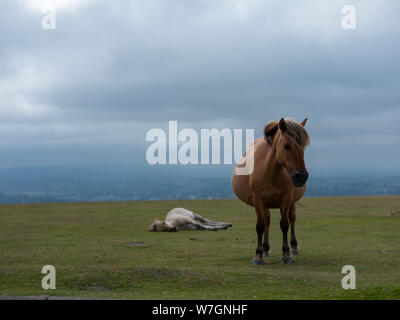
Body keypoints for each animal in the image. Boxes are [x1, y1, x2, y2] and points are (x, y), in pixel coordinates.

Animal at [231, 117, 310, 264]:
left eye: (303, 147)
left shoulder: (286, 199)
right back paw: (265, 249)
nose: (301, 176)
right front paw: (258, 255)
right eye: (286, 146)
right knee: (267, 219)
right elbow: (260, 226)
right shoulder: (258, 199)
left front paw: (286, 254)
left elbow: (284, 224)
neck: (270, 171)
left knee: (292, 219)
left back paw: (293, 248)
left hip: (290, 202)